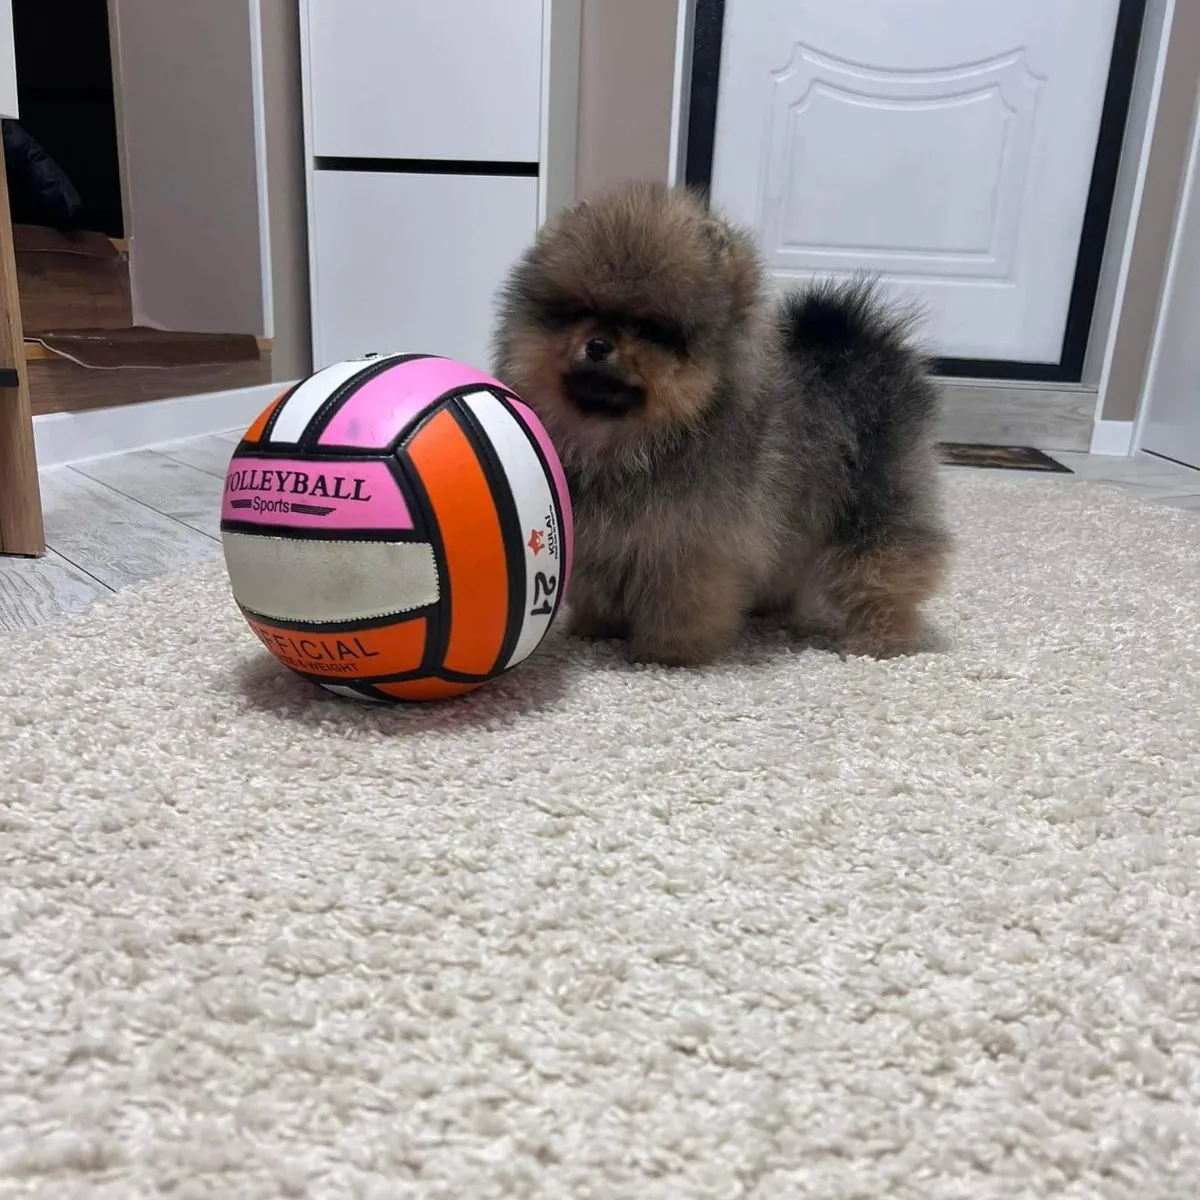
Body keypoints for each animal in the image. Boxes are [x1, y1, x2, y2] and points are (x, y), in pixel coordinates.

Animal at [491, 182, 950, 666]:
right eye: (580, 311)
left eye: (648, 328)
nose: (597, 344)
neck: (624, 443)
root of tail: (863, 349)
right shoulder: (605, 539)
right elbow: (600, 586)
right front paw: (599, 628)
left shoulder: (692, 543)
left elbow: (680, 600)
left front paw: (667, 653)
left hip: (875, 504)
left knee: (886, 569)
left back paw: (880, 638)